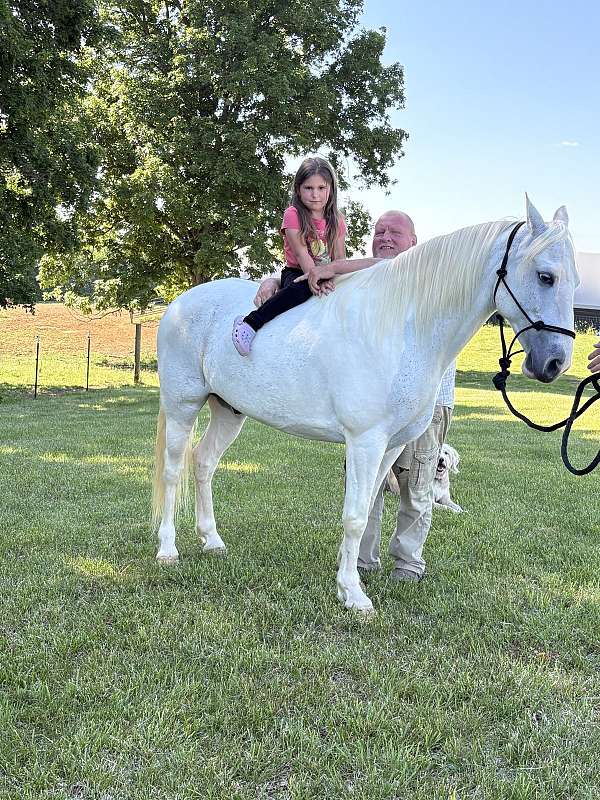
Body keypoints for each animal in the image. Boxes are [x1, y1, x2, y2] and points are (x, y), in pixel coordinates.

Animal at [152, 197, 578, 613]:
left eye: (574, 282)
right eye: (546, 276)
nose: (555, 362)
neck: (401, 327)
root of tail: (177, 305)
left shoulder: (389, 445)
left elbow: (367, 506)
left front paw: (348, 578)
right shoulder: (365, 441)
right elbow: (356, 515)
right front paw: (355, 596)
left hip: (228, 411)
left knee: (203, 463)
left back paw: (212, 541)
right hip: (182, 405)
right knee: (172, 471)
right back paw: (168, 550)